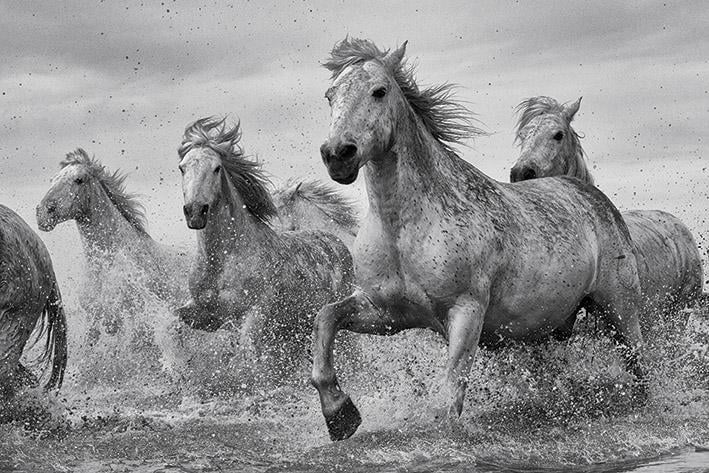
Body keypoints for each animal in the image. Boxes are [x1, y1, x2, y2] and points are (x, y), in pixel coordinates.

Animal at [175, 117, 353, 374]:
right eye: (182, 168)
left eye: (216, 168)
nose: (195, 212)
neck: (221, 261)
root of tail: (336, 243)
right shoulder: (205, 314)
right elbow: (172, 323)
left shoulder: (254, 314)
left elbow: (244, 357)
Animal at [311, 38, 648, 441]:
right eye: (330, 95)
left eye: (379, 91)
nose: (337, 155)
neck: (405, 229)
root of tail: (590, 194)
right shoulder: (386, 312)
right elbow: (326, 318)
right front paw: (338, 413)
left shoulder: (466, 311)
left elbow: (451, 393)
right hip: (550, 330)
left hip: (619, 311)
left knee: (641, 368)